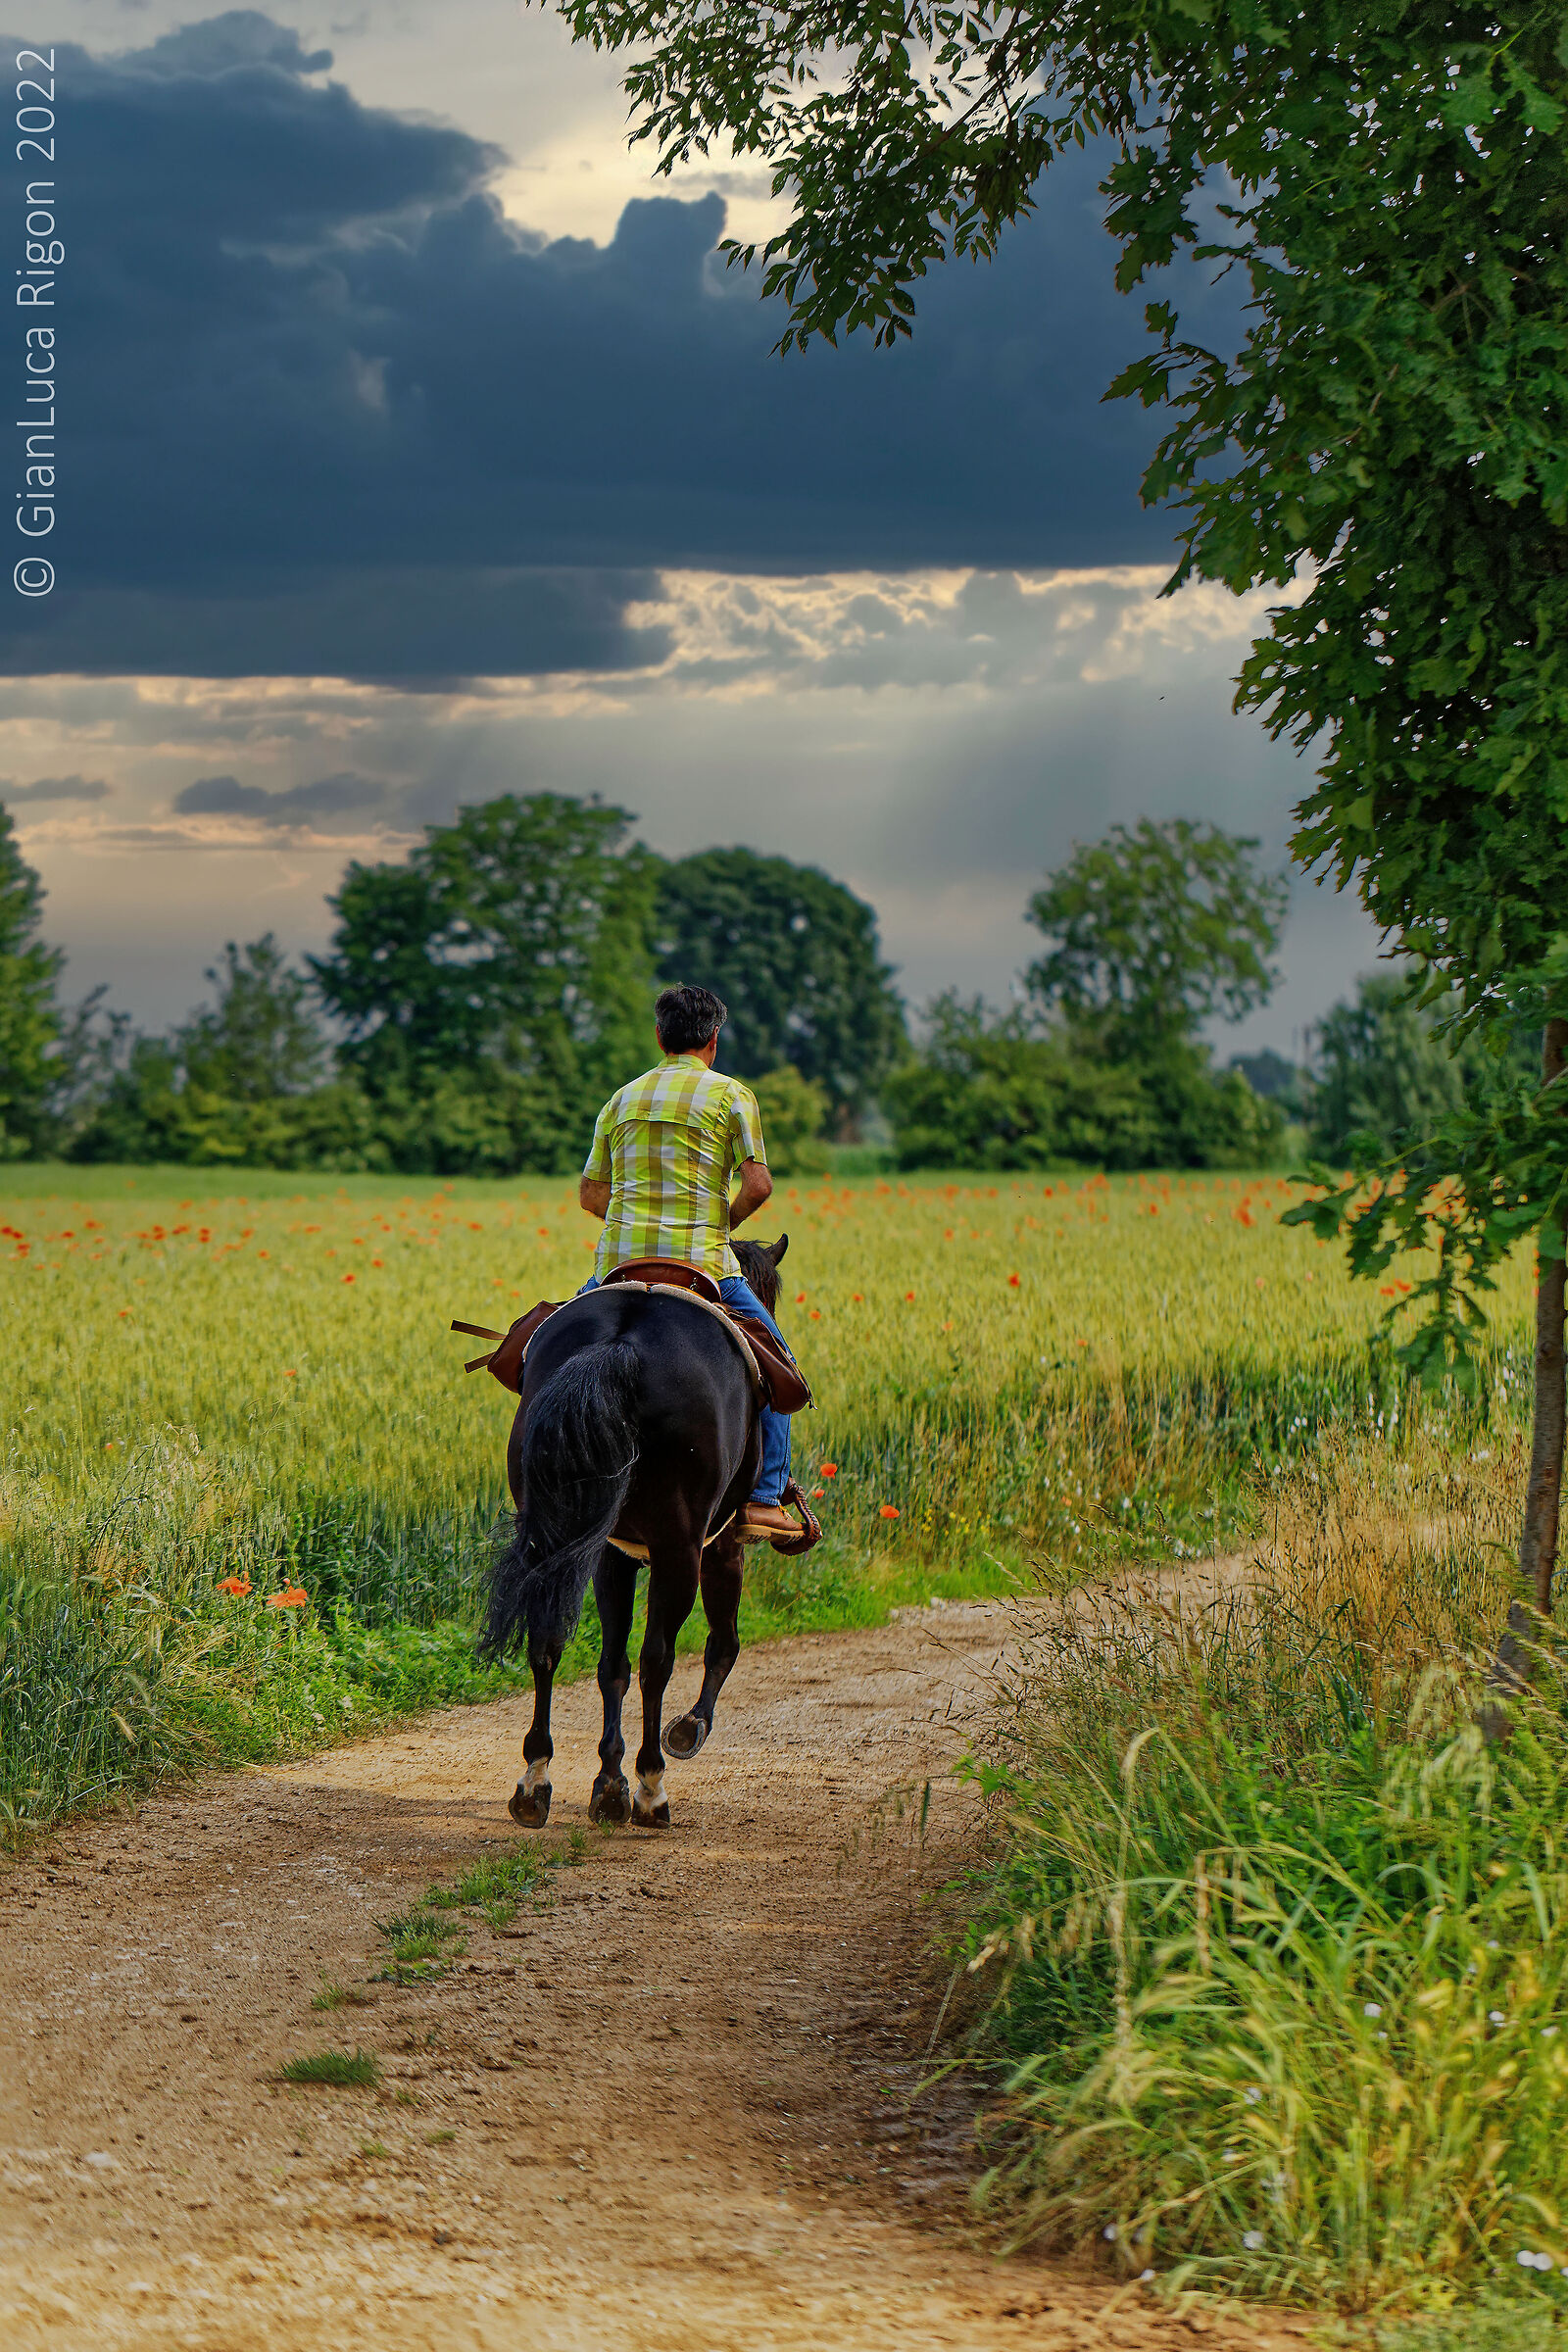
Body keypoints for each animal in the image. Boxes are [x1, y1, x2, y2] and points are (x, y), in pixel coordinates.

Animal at [481, 1234, 790, 1831]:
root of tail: (622, 1343)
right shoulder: (721, 1545)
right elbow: (721, 1644)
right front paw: (686, 1732)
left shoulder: (611, 1553)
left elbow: (610, 1666)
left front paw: (608, 1780)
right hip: (679, 1547)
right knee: (658, 1659)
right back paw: (651, 1788)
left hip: (555, 1532)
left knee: (549, 1639)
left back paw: (536, 1783)